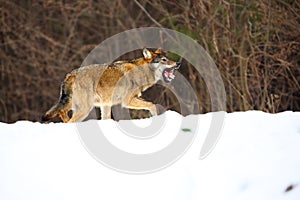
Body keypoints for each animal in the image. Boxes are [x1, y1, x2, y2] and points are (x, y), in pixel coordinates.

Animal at [41, 48, 179, 122]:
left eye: (168, 58)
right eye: (164, 60)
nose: (178, 63)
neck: (141, 71)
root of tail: (70, 74)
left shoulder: (106, 105)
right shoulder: (127, 101)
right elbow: (152, 105)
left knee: (61, 112)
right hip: (85, 108)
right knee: (69, 119)